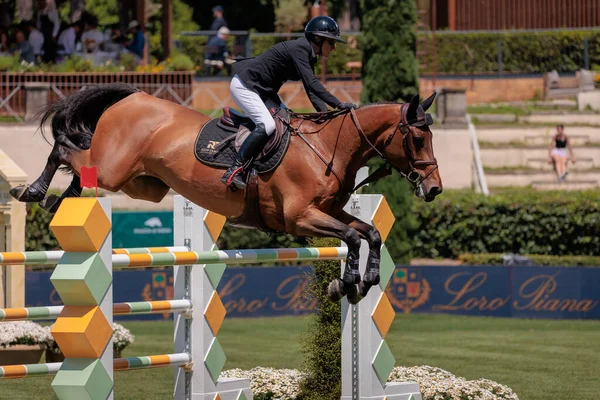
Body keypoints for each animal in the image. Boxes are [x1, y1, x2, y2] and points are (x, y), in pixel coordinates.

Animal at [8, 84, 440, 304]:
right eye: (418, 139)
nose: (434, 188)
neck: (327, 148)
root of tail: (133, 97)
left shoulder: (329, 212)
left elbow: (370, 233)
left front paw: (364, 281)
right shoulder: (300, 217)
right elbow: (352, 237)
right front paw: (348, 283)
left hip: (142, 184)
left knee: (82, 168)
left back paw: (60, 199)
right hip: (115, 169)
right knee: (66, 149)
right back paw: (32, 191)